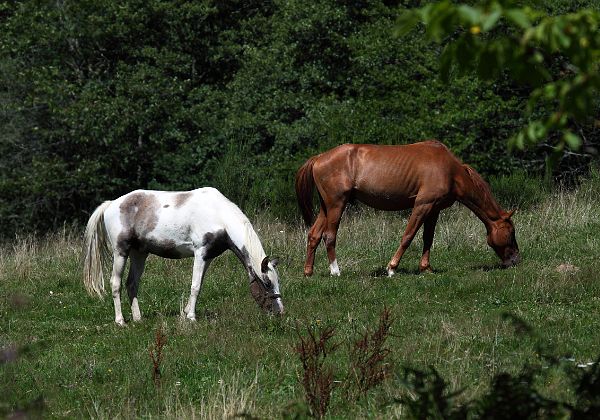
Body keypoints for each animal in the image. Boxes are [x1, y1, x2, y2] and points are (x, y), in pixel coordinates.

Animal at [83, 186, 284, 324]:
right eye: (267, 283)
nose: (280, 311)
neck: (219, 215)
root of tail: (111, 204)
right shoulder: (200, 253)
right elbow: (195, 286)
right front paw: (191, 317)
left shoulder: (208, 257)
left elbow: (199, 284)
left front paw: (187, 311)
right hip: (120, 252)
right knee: (115, 283)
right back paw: (120, 321)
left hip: (139, 254)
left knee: (132, 284)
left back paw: (138, 319)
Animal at [296, 141, 520, 278]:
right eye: (511, 232)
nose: (516, 260)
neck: (450, 170)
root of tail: (319, 157)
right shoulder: (422, 205)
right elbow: (408, 236)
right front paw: (391, 268)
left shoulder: (434, 210)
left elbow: (428, 238)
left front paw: (426, 268)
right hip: (336, 204)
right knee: (329, 236)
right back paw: (336, 271)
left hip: (326, 207)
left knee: (314, 234)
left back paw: (308, 272)